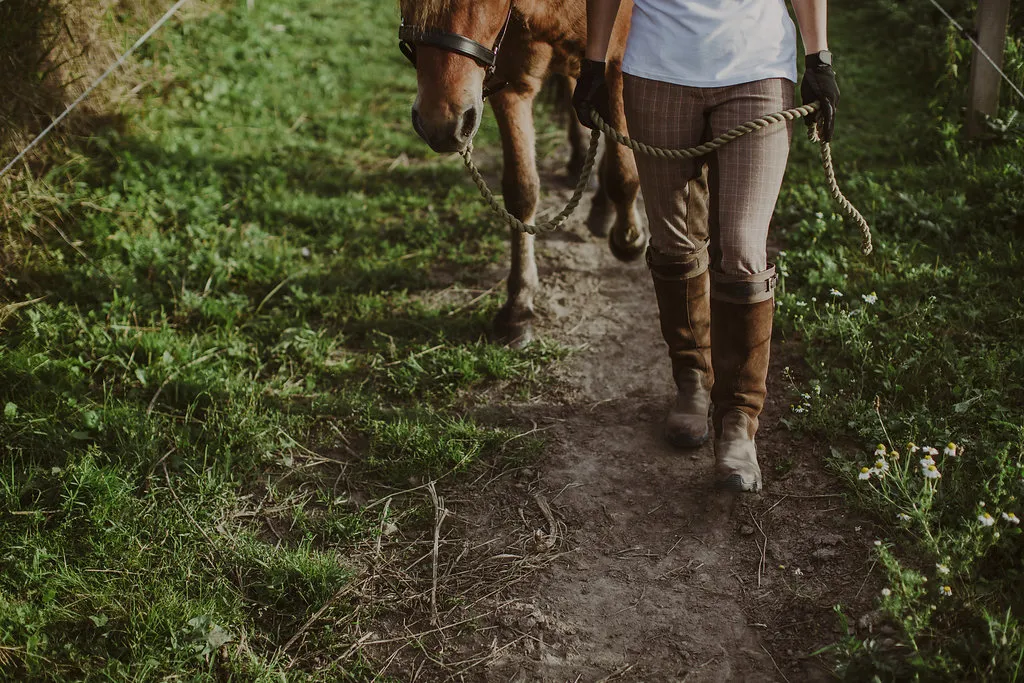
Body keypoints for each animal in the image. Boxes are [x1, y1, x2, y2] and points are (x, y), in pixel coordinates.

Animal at [397, 0, 642, 346]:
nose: (440, 124)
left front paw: (630, 239)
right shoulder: (509, 82)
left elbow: (623, 171)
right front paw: (519, 306)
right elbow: (521, 192)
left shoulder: (616, 63)